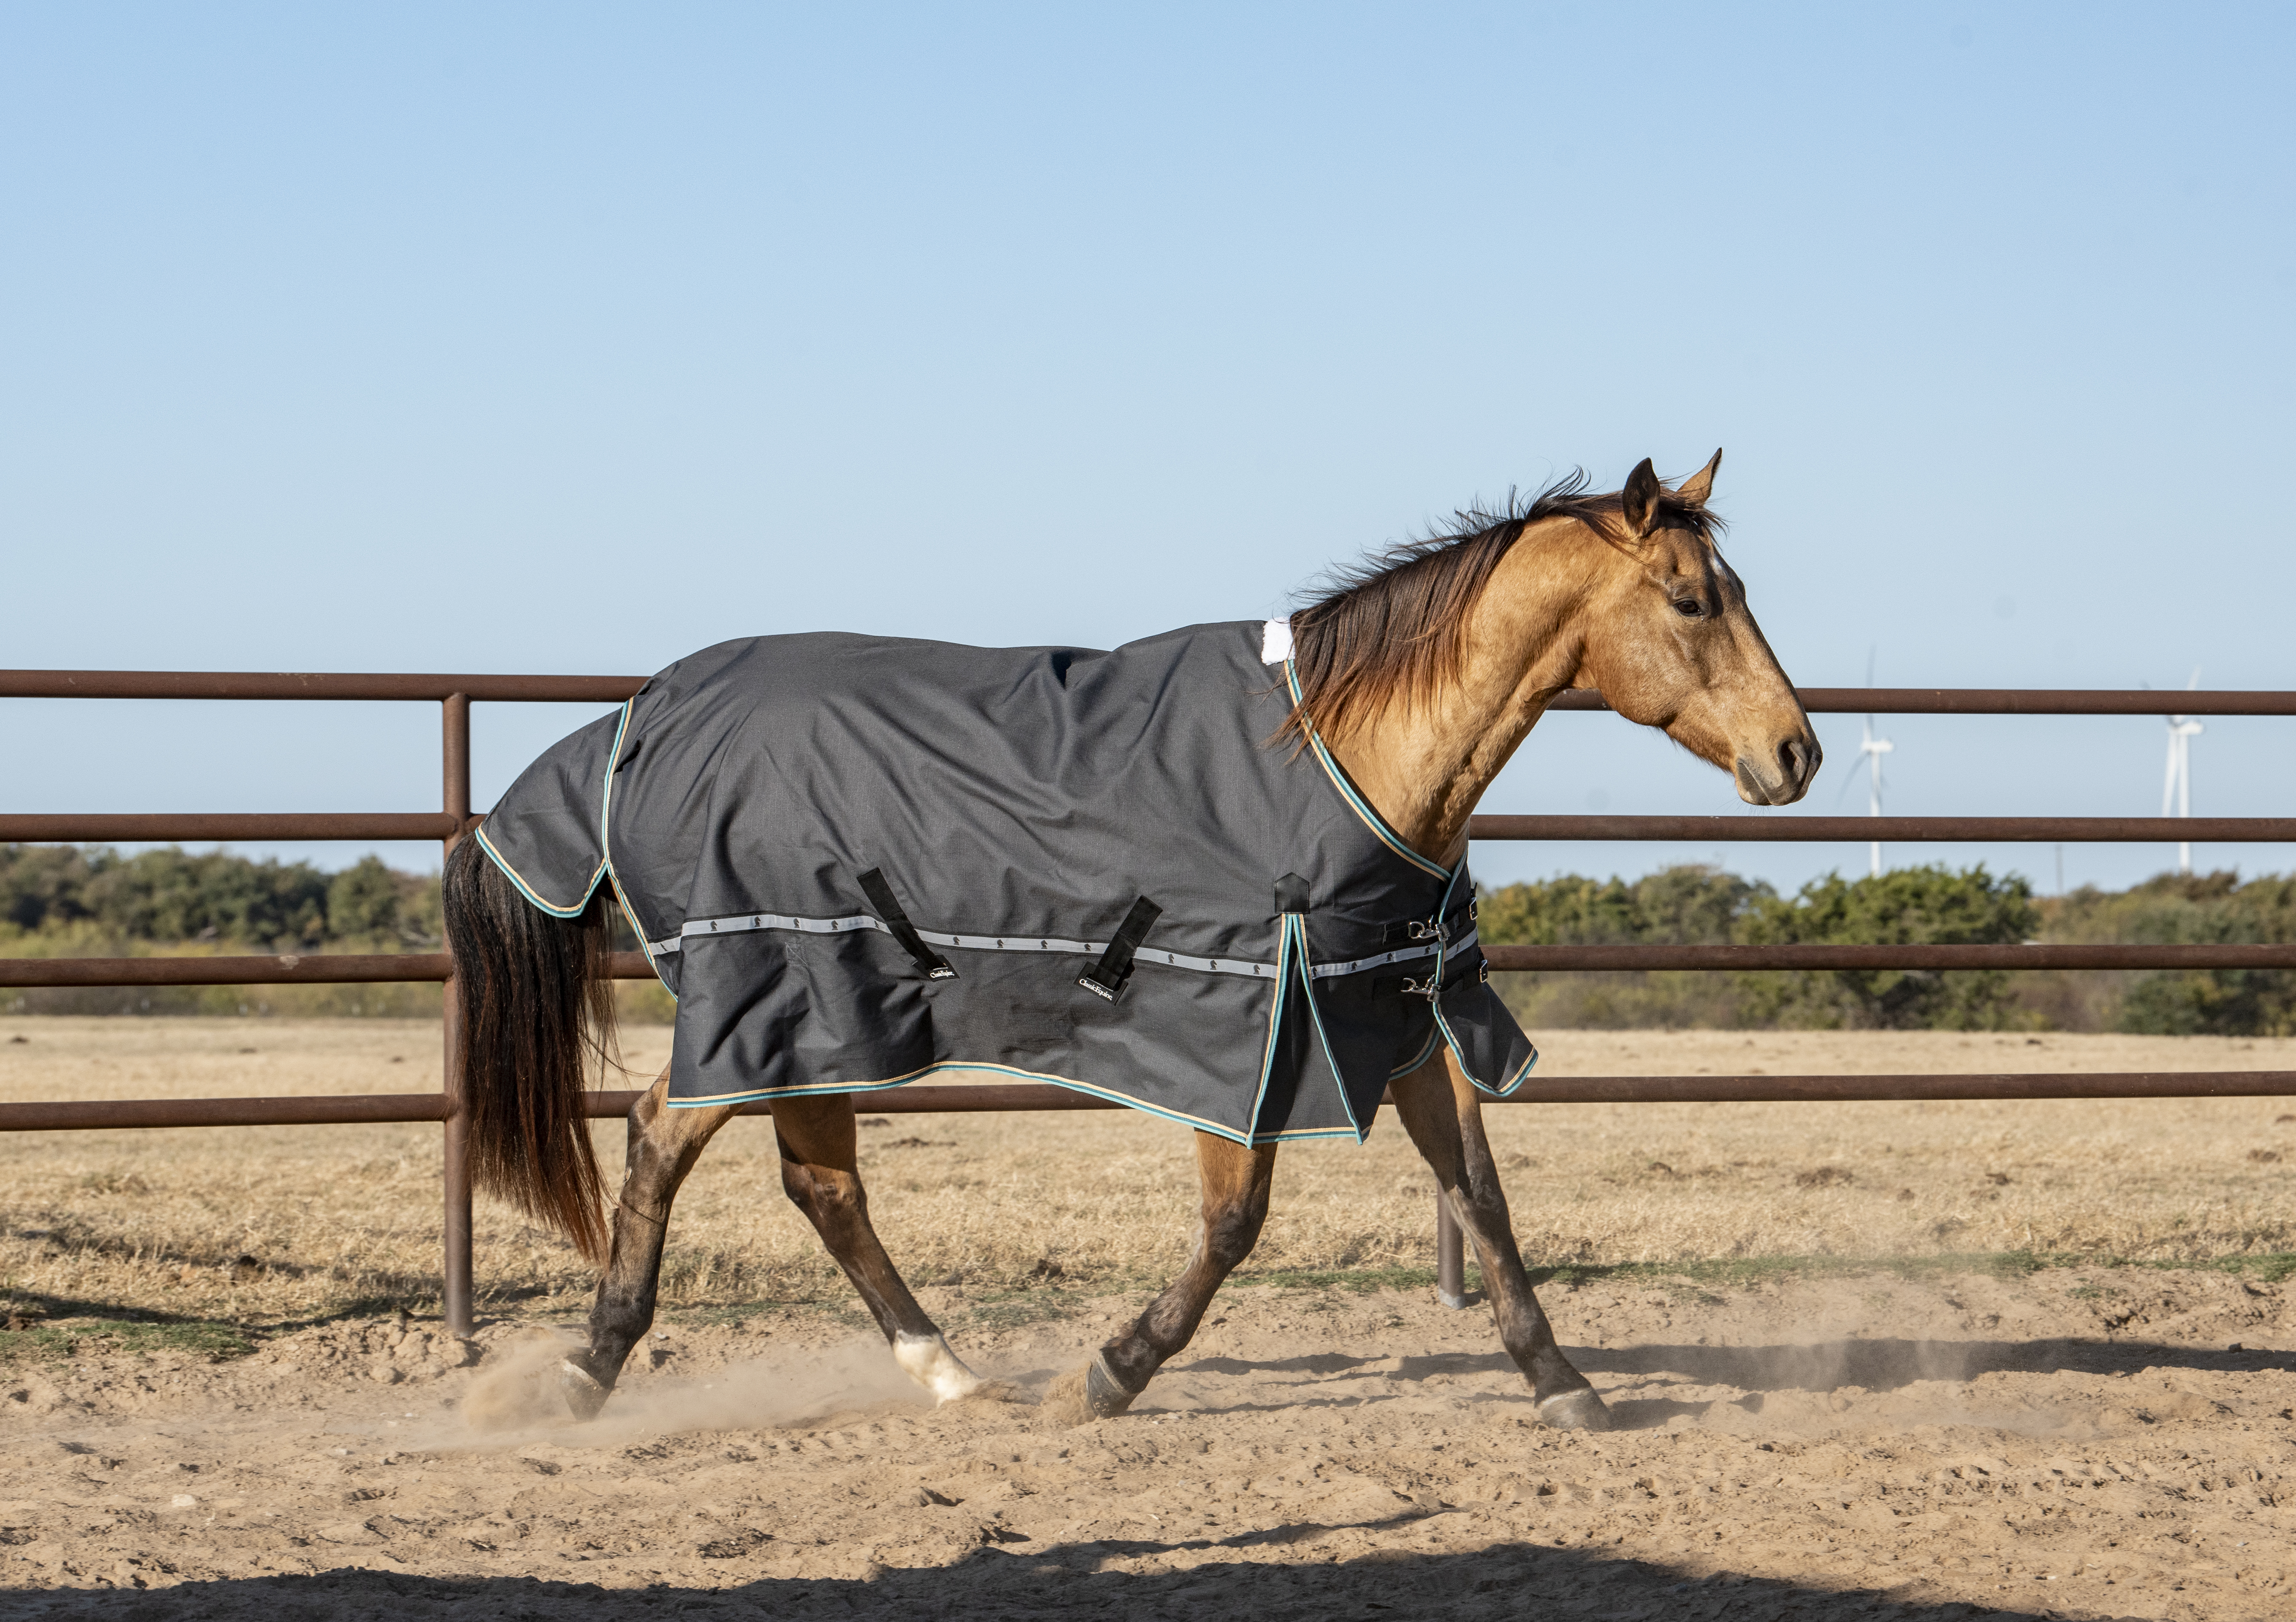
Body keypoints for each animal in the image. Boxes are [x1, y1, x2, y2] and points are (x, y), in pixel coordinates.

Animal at [440, 451, 1818, 1432]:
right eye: (1691, 599)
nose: (1795, 752)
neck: (1343, 755)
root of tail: (642, 712)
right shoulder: (1248, 1034)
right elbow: (1235, 1223)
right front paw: (1106, 1373)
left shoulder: (1395, 1010)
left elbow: (1479, 1194)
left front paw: (1565, 1384)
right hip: (767, 994)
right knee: (662, 1136)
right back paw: (585, 1373)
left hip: (822, 1016)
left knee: (812, 1181)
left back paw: (941, 1372)